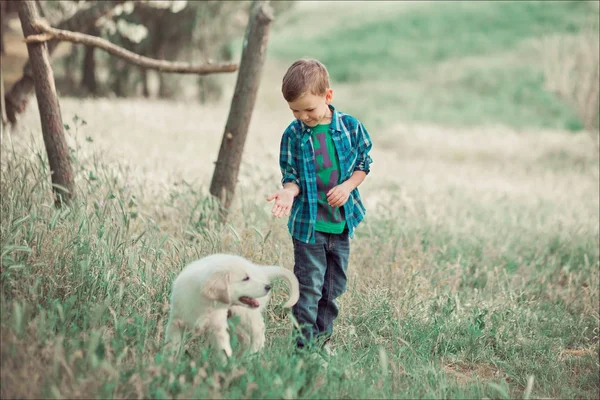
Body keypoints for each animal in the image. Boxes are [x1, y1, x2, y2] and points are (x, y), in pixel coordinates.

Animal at [164, 253, 298, 356]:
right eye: (245, 278)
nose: (268, 287)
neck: (205, 304)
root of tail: (260, 270)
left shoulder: (218, 327)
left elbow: (224, 350)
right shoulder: (175, 322)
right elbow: (172, 345)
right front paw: (170, 361)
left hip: (245, 313)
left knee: (258, 330)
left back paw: (252, 354)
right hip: (234, 317)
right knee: (246, 337)